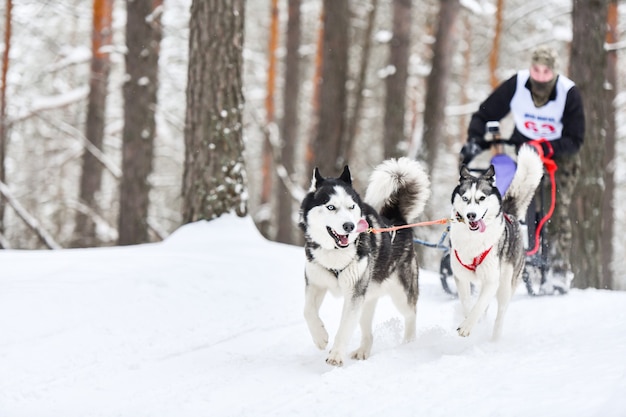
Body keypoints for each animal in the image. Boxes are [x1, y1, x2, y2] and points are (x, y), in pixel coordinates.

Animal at [298, 158, 428, 366]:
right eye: (331, 207)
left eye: (351, 207)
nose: (349, 226)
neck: (335, 253)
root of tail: (397, 220)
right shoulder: (315, 284)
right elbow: (308, 311)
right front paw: (320, 337)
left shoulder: (354, 295)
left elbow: (344, 327)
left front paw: (336, 355)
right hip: (367, 300)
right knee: (368, 330)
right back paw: (363, 351)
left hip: (401, 294)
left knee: (411, 315)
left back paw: (408, 343)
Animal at [448, 145, 540, 340]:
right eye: (465, 198)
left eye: (482, 198)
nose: (471, 215)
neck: (473, 240)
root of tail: (510, 215)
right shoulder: (461, 277)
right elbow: (468, 304)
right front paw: (468, 319)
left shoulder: (491, 280)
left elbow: (479, 305)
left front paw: (467, 326)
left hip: (505, 285)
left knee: (500, 314)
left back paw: (494, 340)